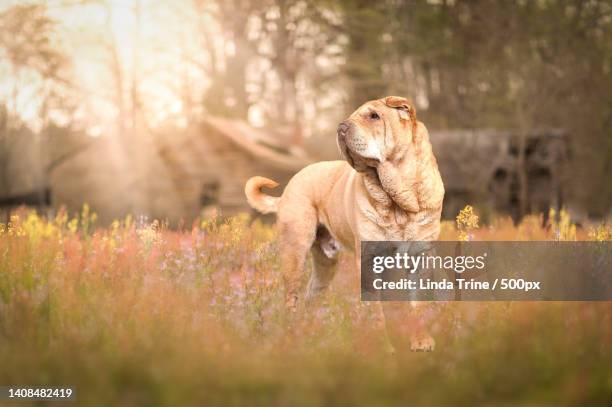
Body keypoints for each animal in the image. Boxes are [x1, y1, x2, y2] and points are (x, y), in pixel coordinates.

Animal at [245, 96, 444, 354]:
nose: (341, 127)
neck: (397, 200)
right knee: (291, 297)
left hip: (325, 265)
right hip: (295, 252)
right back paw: (291, 337)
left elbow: (418, 304)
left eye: (374, 116)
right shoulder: (368, 261)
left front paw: (421, 340)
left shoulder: (421, 255)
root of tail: (291, 184)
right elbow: (375, 311)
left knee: (311, 296)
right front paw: (382, 347)